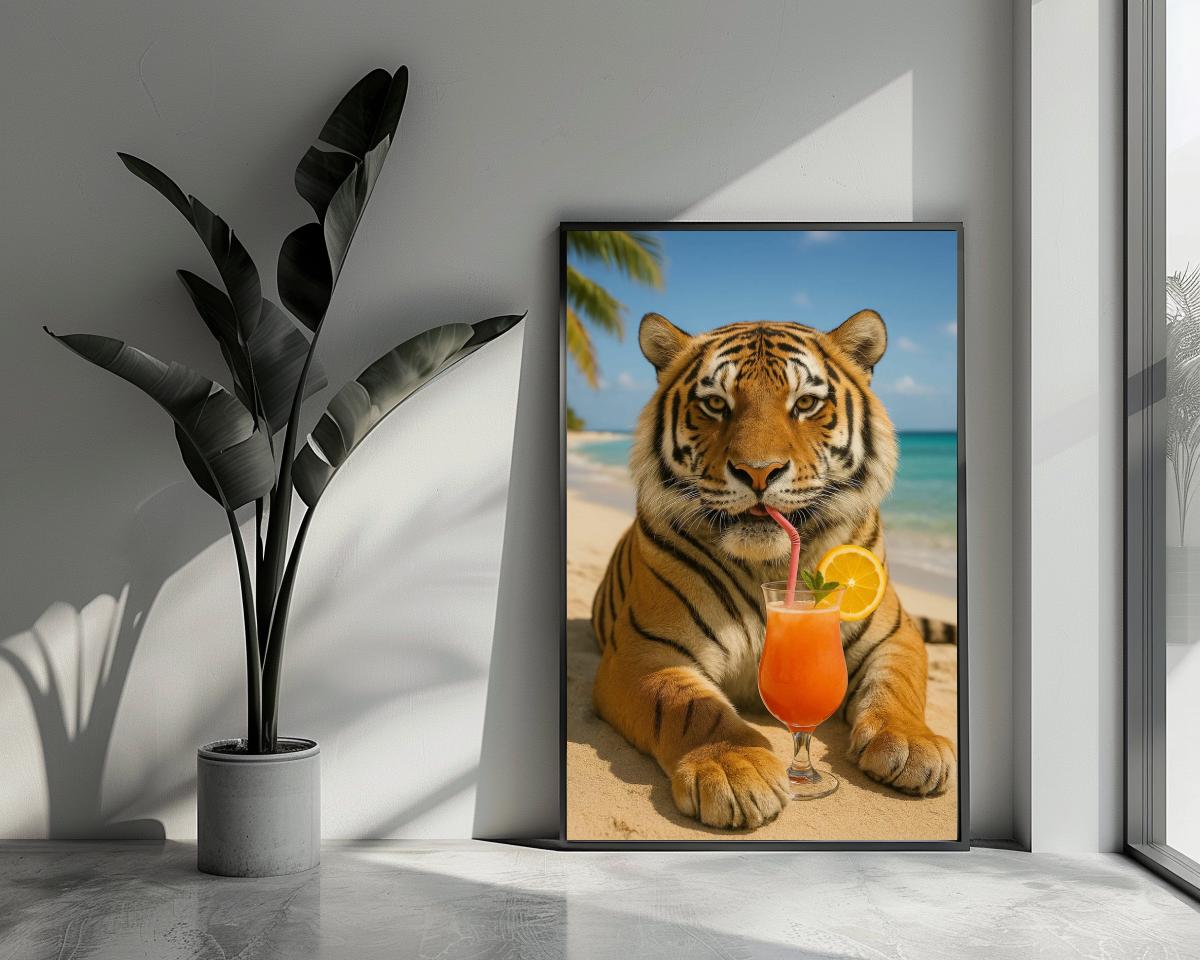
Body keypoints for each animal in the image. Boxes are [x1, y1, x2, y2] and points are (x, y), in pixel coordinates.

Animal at [590, 310, 955, 830]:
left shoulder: (894, 633)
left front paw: (910, 742)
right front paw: (731, 766)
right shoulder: (644, 653)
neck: (771, 567)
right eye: (715, 404)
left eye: (805, 403)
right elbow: (688, 706)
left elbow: (897, 685)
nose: (758, 472)